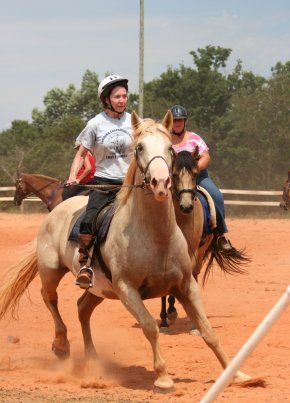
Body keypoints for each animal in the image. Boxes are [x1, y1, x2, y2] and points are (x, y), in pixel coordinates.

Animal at [0, 112, 249, 392]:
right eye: (139, 148)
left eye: (170, 149)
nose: (161, 183)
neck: (155, 236)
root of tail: (58, 210)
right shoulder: (126, 289)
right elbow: (149, 326)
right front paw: (163, 378)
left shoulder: (186, 285)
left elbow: (208, 330)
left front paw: (236, 374)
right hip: (51, 271)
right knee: (50, 298)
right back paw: (62, 345)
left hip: (99, 289)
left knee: (82, 308)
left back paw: (93, 359)